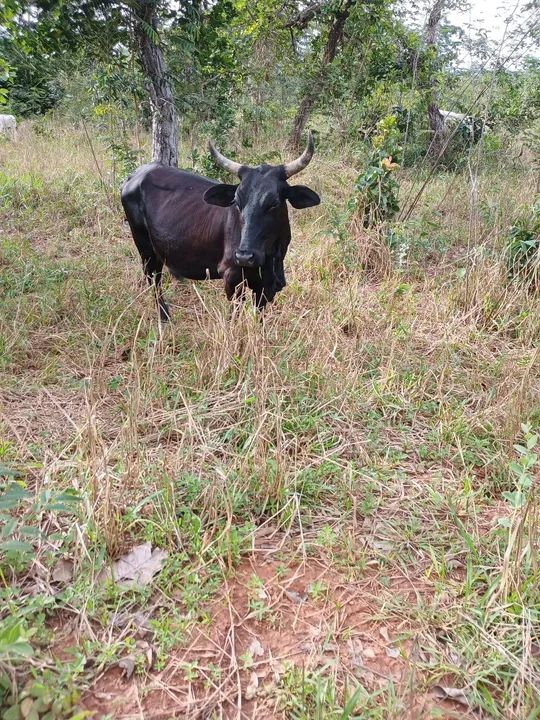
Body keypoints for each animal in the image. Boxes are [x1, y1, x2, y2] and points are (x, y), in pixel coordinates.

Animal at [121, 133, 320, 321]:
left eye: (274, 204)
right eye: (237, 201)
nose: (244, 257)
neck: (271, 257)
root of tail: (136, 174)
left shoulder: (267, 286)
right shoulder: (232, 277)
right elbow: (235, 315)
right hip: (144, 248)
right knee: (154, 281)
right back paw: (165, 318)